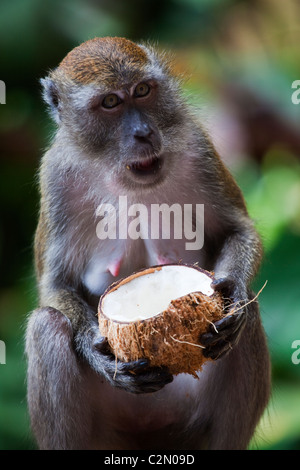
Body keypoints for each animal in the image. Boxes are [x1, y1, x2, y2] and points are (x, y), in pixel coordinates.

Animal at [24, 37, 270, 452]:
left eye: (142, 91)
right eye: (110, 102)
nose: (143, 132)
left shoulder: (197, 146)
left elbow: (238, 231)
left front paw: (233, 293)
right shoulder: (55, 177)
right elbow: (55, 285)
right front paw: (96, 351)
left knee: (248, 313)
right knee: (47, 327)